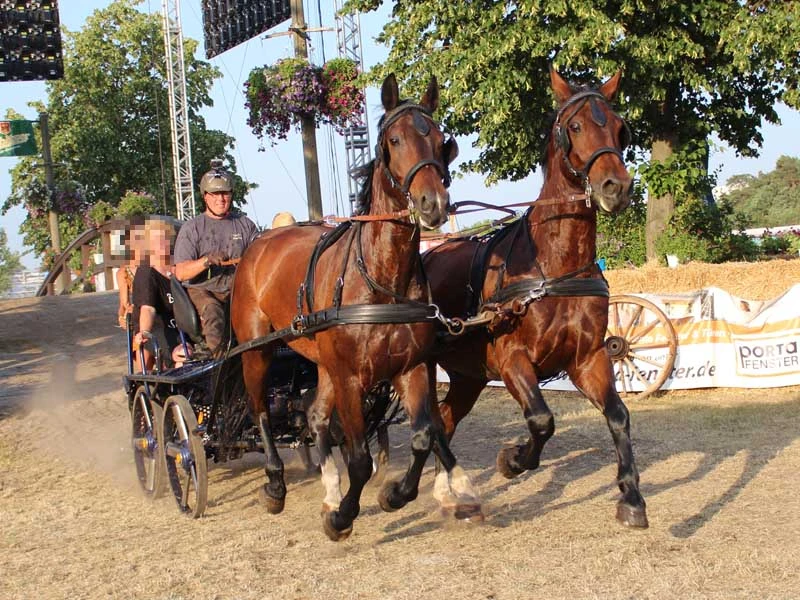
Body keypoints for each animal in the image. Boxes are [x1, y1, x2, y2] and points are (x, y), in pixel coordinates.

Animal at [231, 74, 482, 541]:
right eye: (395, 140)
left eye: (440, 140)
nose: (433, 203)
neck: (381, 280)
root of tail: (260, 242)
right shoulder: (351, 379)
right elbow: (361, 459)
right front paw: (343, 516)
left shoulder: (410, 368)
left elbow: (424, 437)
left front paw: (395, 494)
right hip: (257, 351)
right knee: (260, 411)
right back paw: (275, 484)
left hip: (323, 363)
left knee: (314, 416)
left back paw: (330, 490)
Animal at [423, 68, 648, 528]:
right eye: (574, 126)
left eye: (620, 128)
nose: (615, 186)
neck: (554, 267)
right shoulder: (513, 361)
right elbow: (542, 419)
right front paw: (512, 460)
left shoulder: (588, 359)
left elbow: (618, 416)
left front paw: (632, 496)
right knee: (428, 423)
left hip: (468, 376)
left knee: (446, 421)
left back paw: (449, 494)